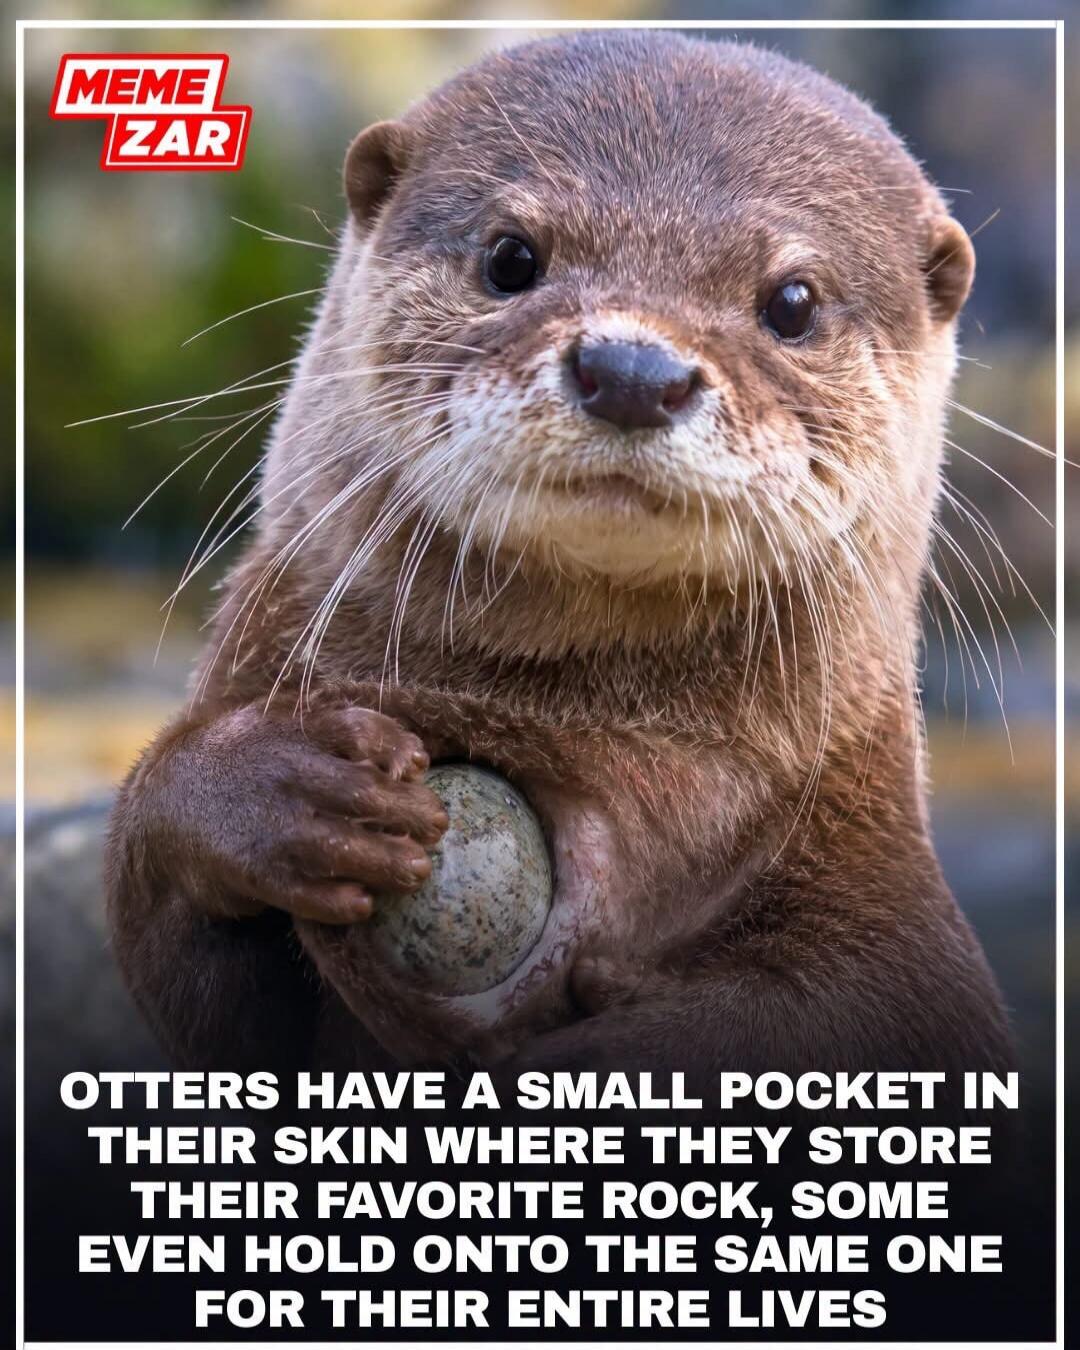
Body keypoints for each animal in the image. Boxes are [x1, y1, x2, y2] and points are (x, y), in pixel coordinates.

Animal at [105, 32, 1013, 1087]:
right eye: (512, 257)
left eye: (792, 301)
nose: (632, 370)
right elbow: (188, 986)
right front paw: (279, 788)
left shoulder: (890, 914)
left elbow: (817, 1016)